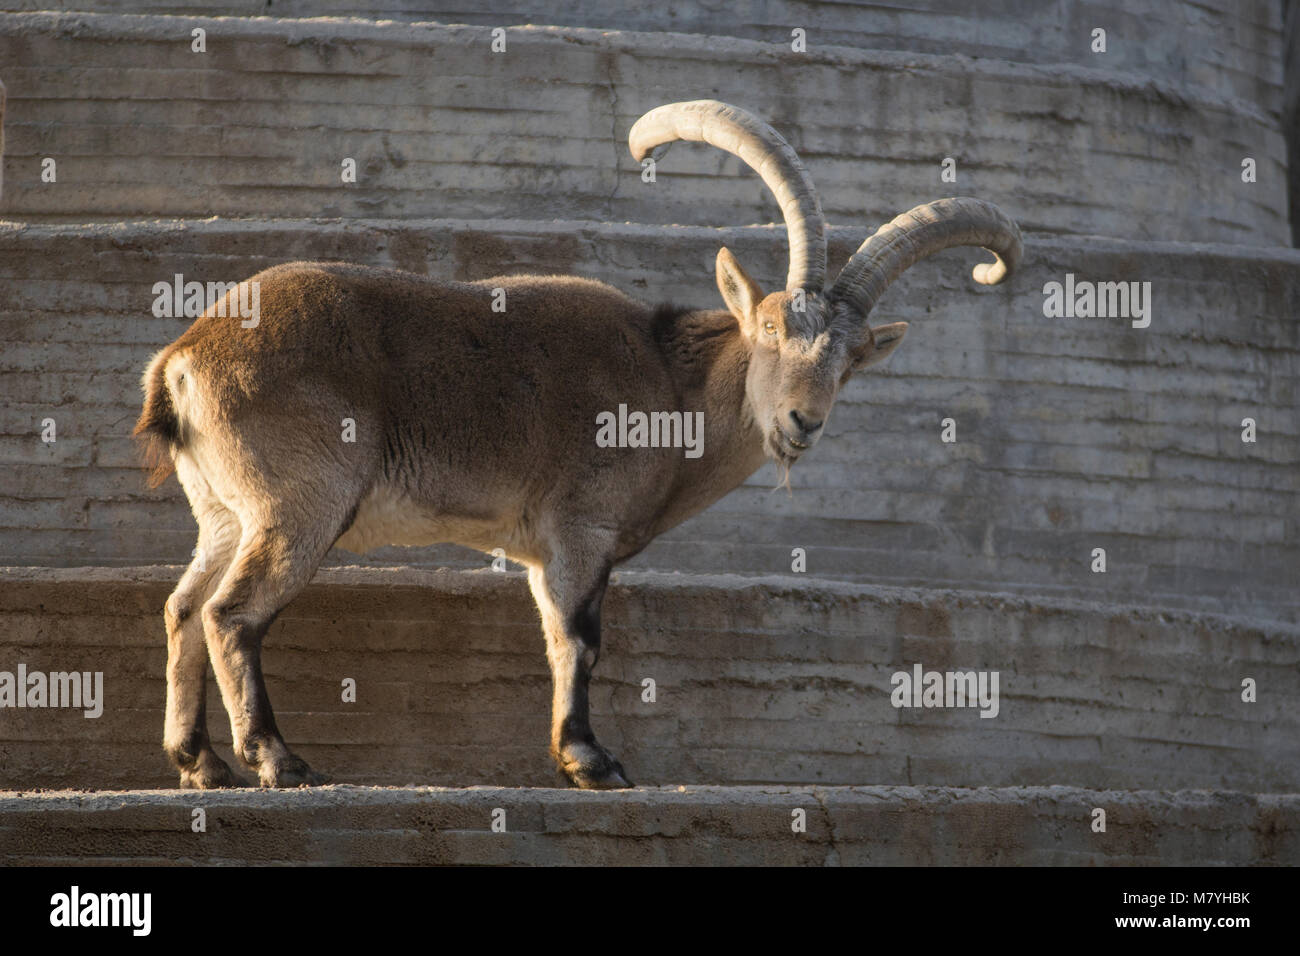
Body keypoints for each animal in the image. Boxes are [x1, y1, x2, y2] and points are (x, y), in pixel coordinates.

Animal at [135, 100, 1022, 789]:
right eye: (771, 328)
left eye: (850, 359)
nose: (802, 421)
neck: (672, 387)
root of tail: (182, 358)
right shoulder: (581, 529)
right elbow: (581, 639)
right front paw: (591, 760)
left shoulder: (540, 547)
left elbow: (556, 635)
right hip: (299, 505)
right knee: (230, 614)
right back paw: (278, 762)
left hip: (225, 512)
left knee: (182, 606)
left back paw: (199, 763)